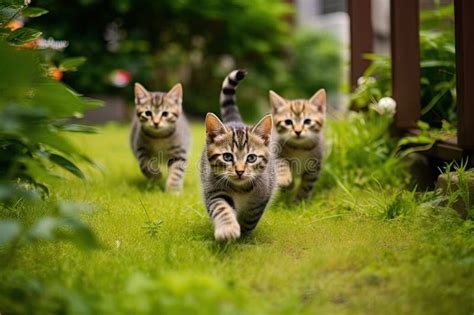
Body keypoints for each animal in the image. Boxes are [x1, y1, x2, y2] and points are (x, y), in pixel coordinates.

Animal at [199, 69, 274, 242]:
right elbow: (221, 208)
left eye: (251, 158)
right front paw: (227, 229)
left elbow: (251, 216)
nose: (240, 171)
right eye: (227, 157)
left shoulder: (263, 195)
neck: (240, 190)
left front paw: (244, 233)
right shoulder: (214, 190)